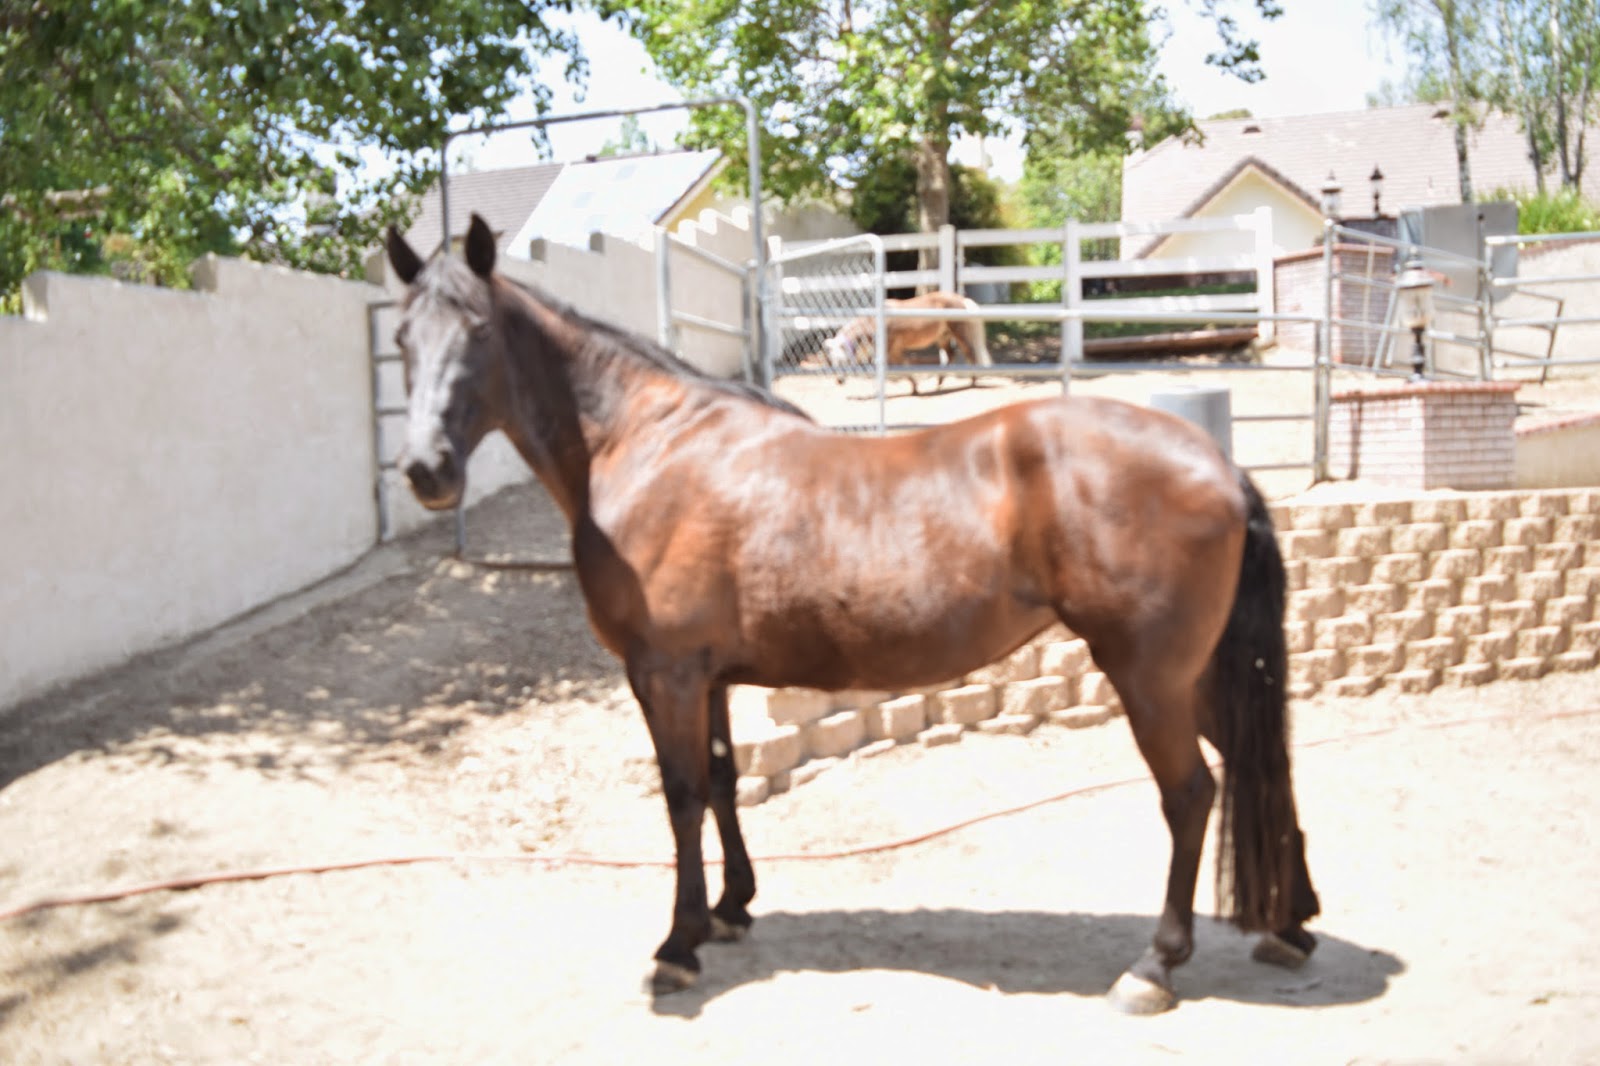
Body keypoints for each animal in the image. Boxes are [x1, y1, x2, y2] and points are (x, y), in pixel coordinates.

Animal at [821, 291, 992, 395]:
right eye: (832, 361)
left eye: (843, 360)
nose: (839, 380)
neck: (877, 321)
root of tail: (961, 299)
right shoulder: (895, 350)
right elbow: (904, 365)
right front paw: (915, 388)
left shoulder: (889, 349)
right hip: (943, 337)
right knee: (951, 355)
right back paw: (939, 383)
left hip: (959, 333)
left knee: (970, 352)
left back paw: (973, 381)